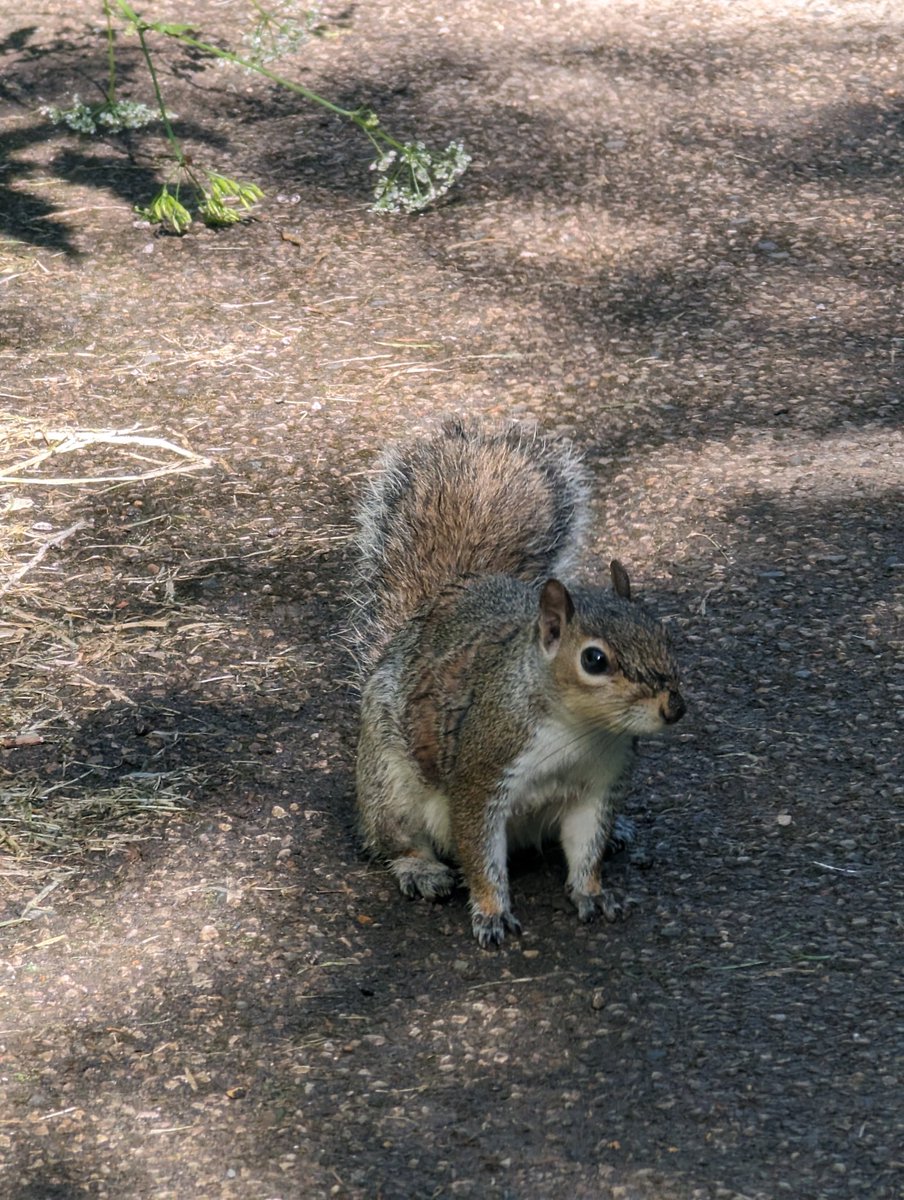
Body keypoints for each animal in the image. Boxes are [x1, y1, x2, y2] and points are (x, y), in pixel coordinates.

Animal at [352, 422, 681, 945]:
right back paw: (420, 869)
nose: (674, 707)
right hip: (389, 782)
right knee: (393, 839)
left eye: (663, 634)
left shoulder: (599, 786)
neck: (577, 732)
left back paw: (620, 833)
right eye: (594, 659)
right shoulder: (481, 776)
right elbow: (482, 857)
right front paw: (491, 913)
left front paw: (593, 892)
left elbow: (586, 847)